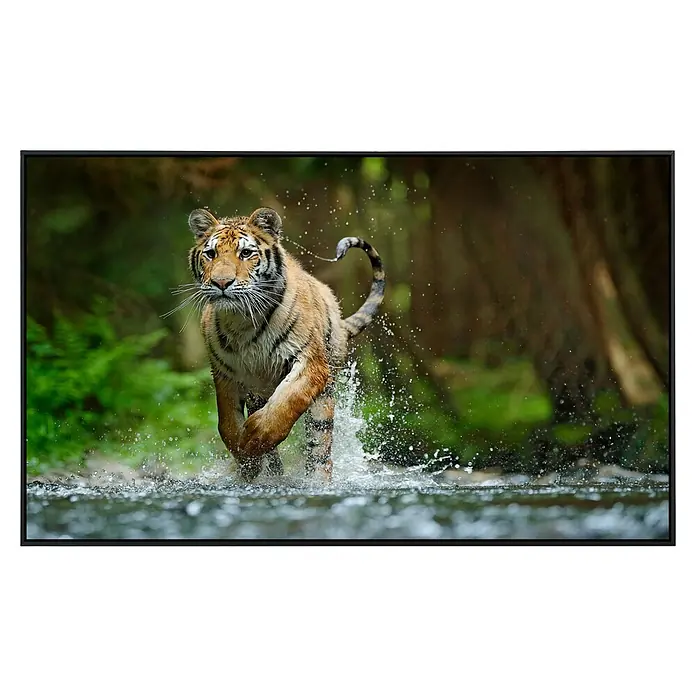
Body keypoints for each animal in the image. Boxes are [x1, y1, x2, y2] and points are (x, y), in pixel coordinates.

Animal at [186, 207, 385, 482]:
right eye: (211, 254)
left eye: (245, 253)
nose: (221, 283)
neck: (242, 320)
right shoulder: (225, 373)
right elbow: (227, 424)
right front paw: (246, 460)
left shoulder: (310, 364)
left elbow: (285, 404)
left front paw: (253, 439)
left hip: (324, 401)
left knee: (320, 450)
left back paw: (316, 480)